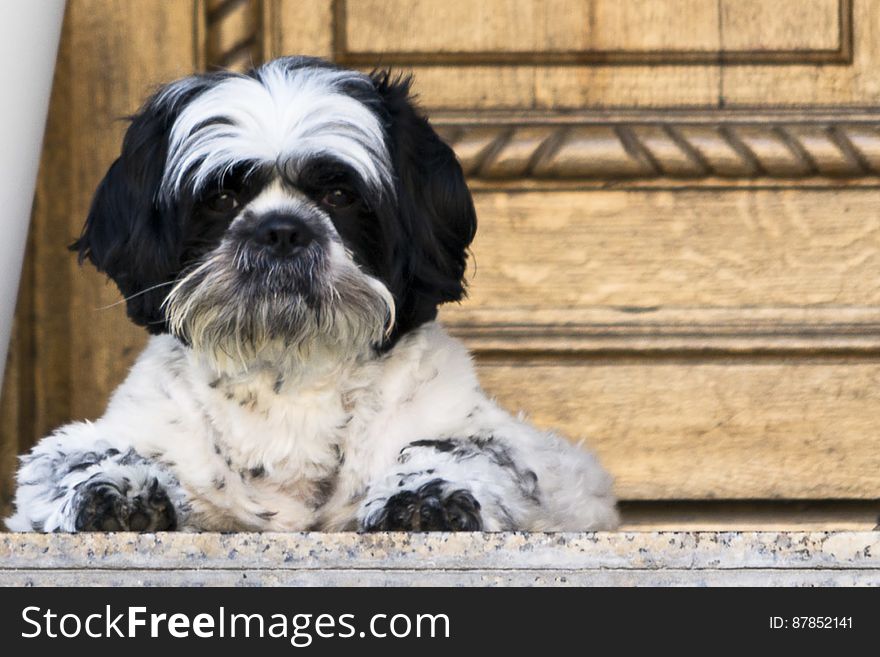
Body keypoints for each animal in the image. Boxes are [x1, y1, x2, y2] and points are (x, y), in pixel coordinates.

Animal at [5, 57, 620, 532]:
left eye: (340, 195)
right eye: (222, 199)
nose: (281, 229)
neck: (290, 377)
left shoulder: (535, 460)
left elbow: (463, 449)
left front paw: (427, 493)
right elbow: (79, 455)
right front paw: (115, 488)